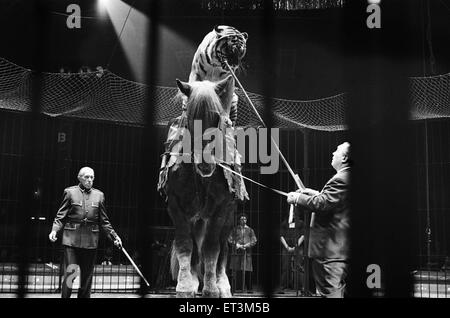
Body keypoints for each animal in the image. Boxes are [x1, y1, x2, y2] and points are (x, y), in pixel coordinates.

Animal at [166, 75, 237, 298]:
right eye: (190, 116)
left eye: (217, 118)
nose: (206, 164)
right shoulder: (175, 205)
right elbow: (184, 244)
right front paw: (185, 287)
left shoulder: (221, 209)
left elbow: (212, 247)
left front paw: (212, 288)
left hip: (227, 216)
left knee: (222, 246)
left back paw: (222, 283)